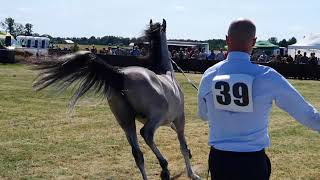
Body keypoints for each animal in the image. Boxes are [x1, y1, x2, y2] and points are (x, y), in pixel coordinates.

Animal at [34, 19, 200, 180]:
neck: (166, 74)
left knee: (138, 155)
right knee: (146, 134)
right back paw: (164, 167)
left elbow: (178, 138)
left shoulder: (169, 121)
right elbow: (182, 145)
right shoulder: (179, 118)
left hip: (125, 121)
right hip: (153, 118)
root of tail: (120, 75)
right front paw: (192, 173)